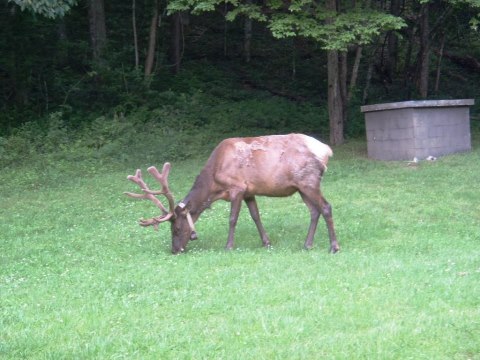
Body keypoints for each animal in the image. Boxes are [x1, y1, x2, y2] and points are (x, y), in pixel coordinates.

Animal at [124, 134, 342, 255]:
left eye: (176, 228)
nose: (174, 250)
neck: (214, 183)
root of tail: (326, 151)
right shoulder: (249, 191)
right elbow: (256, 216)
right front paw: (266, 242)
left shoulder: (237, 187)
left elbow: (232, 219)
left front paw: (228, 246)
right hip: (301, 186)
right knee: (314, 211)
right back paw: (307, 244)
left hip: (309, 180)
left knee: (326, 207)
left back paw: (333, 247)